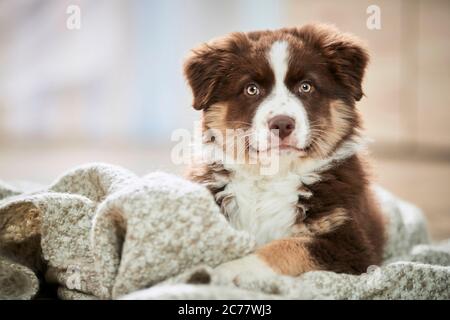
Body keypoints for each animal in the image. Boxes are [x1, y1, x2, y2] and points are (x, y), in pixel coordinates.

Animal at [182, 23, 384, 282]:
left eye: (306, 86)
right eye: (251, 89)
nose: (282, 124)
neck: (272, 175)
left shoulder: (353, 246)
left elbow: (288, 246)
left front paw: (232, 270)